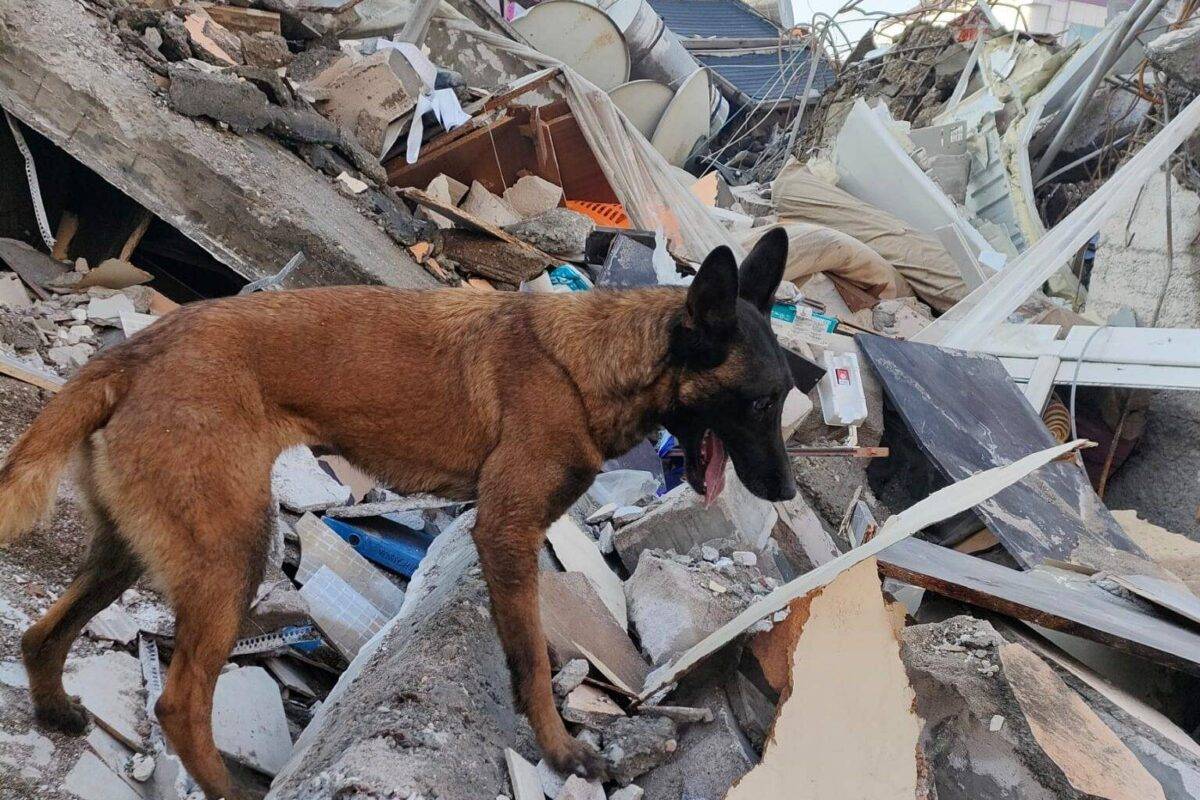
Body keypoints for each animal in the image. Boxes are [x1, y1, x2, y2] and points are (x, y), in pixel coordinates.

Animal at [0, 227, 801, 796]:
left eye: (783, 398)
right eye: (761, 402)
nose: (788, 493)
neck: (594, 362)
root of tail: (135, 351)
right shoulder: (509, 532)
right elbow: (532, 662)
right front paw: (559, 749)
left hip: (132, 549)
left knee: (43, 635)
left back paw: (55, 707)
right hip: (232, 556)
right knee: (179, 705)